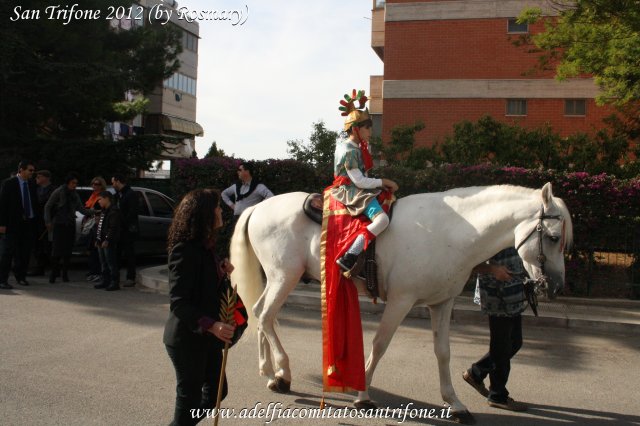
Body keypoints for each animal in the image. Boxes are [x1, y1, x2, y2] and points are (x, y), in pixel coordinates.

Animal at [229, 184, 568, 422]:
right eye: (553, 237)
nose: (555, 286)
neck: (452, 231)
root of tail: (258, 208)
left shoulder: (442, 304)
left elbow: (443, 353)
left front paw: (455, 404)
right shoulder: (401, 301)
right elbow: (379, 344)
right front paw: (363, 394)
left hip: (278, 278)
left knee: (261, 314)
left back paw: (271, 373)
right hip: (284, 276)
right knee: (266, 315)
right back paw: (282, 373)